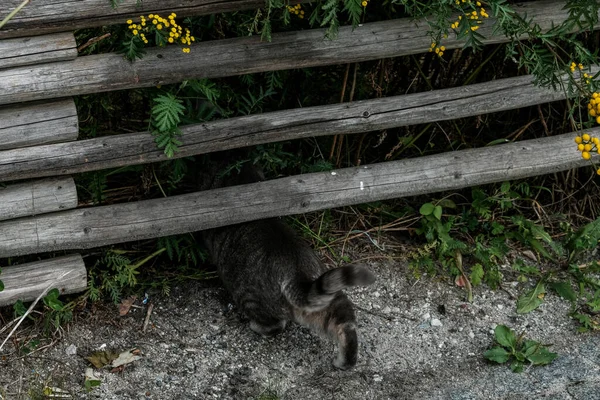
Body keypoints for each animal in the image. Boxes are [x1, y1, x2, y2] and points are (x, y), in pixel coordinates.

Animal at [204, 162, 378, 368]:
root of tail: (296, 275)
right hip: (330, 293)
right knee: (346, 326)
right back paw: (344, 361)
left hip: (249, 295)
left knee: (274, 325)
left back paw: (257, 326)